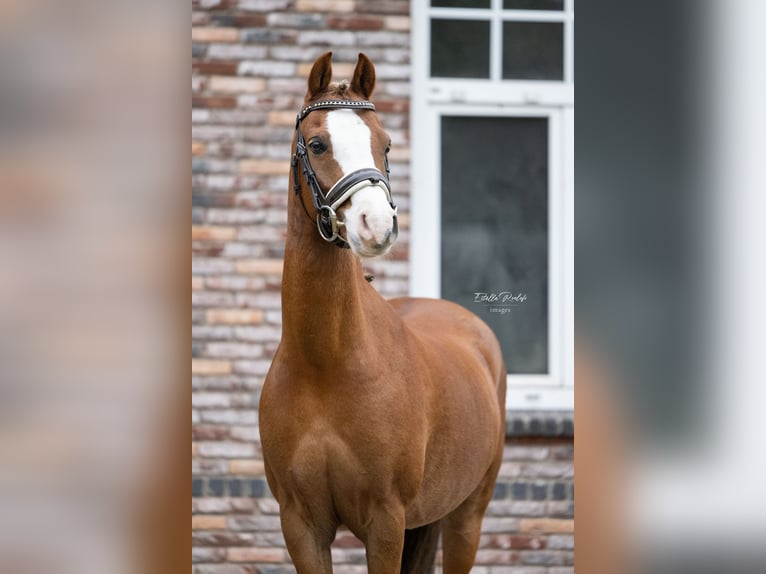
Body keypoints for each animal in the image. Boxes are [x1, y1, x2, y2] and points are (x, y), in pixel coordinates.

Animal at [260, 51, 508, 572]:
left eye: (386, 143)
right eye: (317, 143)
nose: (377, 225)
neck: (325, 364)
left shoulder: (386, 521)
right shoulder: (300, 524)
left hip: (467, 519)